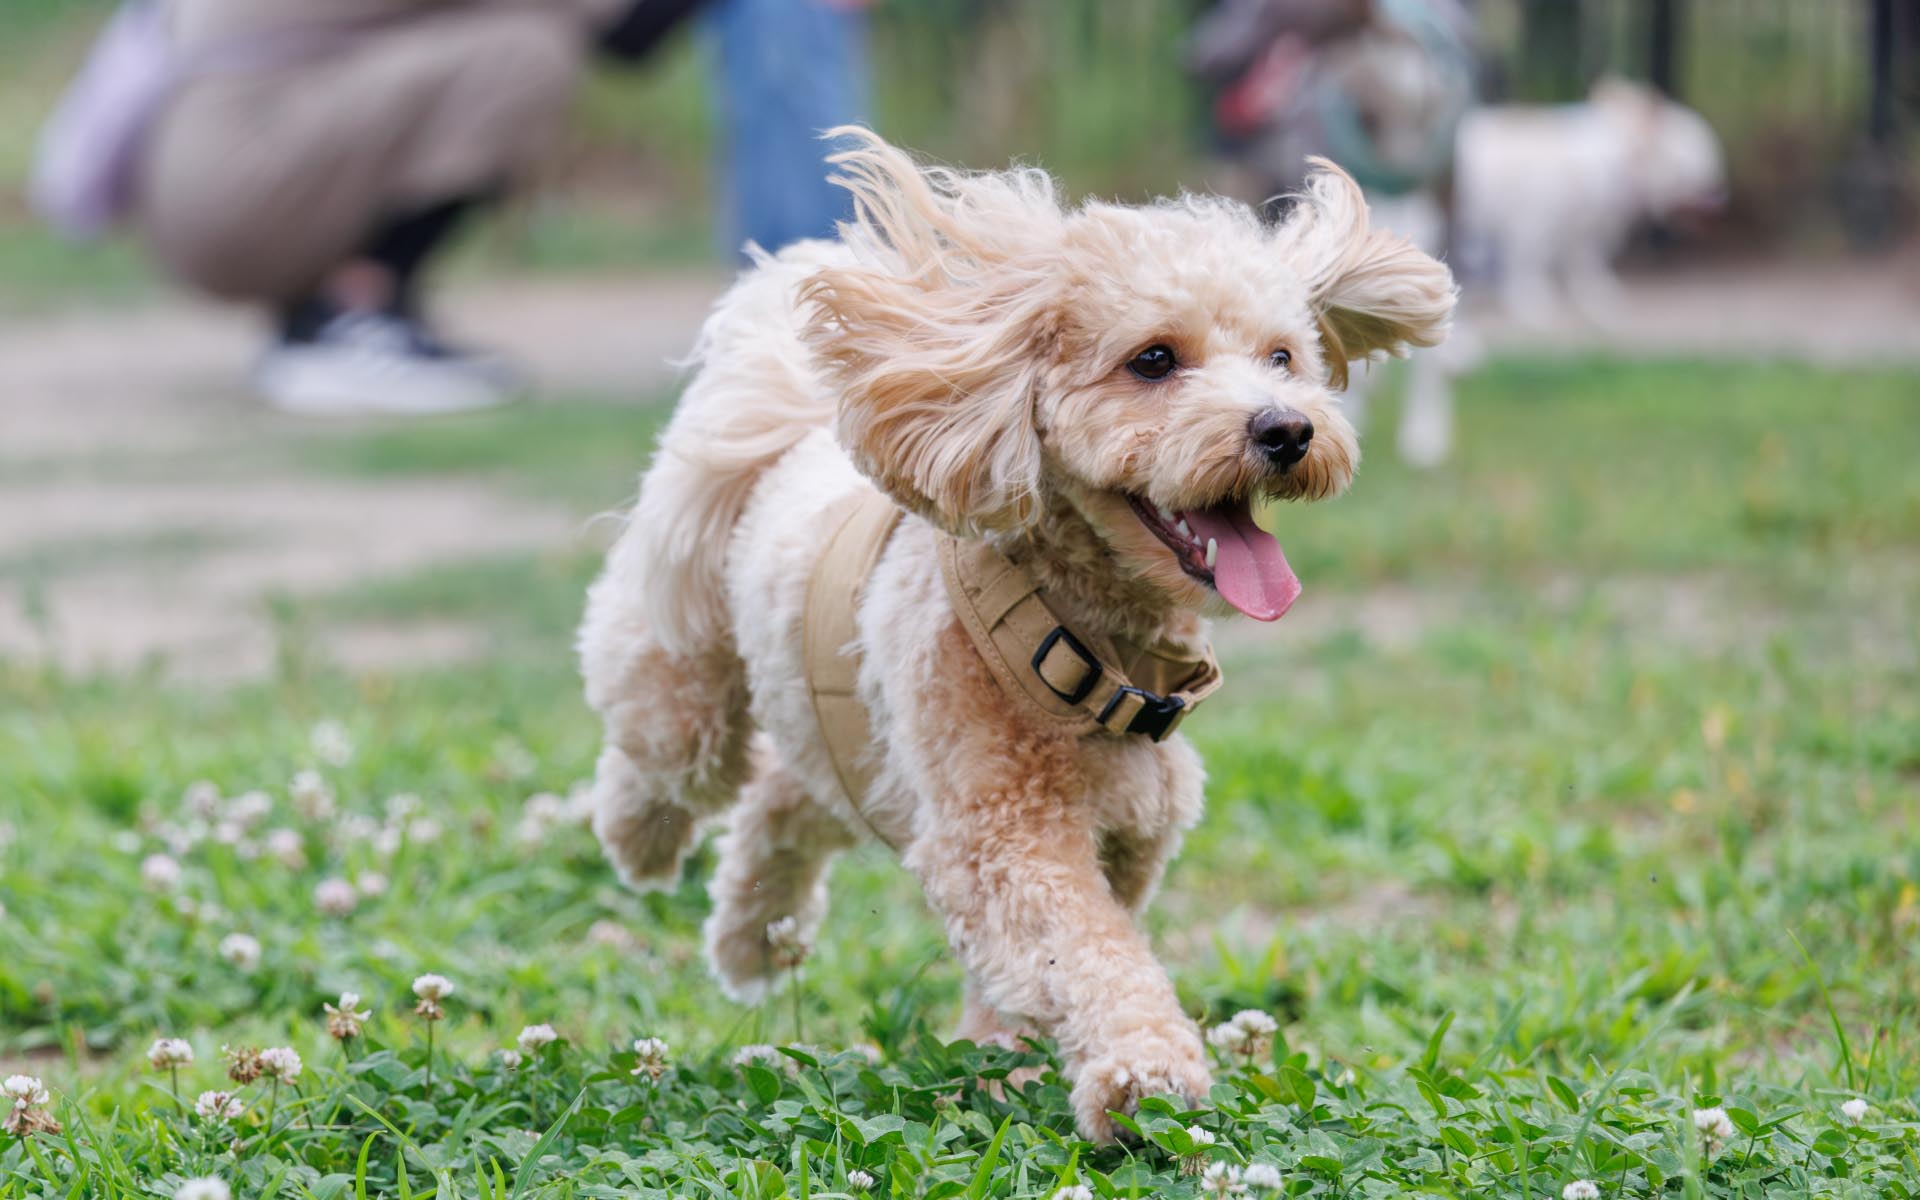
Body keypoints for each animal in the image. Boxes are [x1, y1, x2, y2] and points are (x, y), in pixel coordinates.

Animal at [1451, 79, 1728, 322]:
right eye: (1697, 163)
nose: (1722, 194)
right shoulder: (1534, 224)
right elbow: (1529, 264)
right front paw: (1534, 306)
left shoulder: (1585, 230)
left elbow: (1587, 265)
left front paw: (1596, 299)